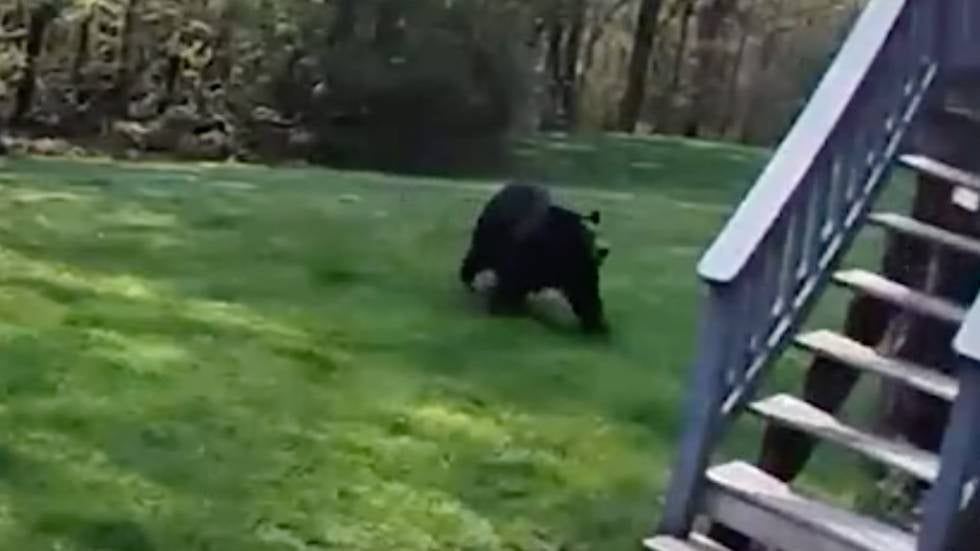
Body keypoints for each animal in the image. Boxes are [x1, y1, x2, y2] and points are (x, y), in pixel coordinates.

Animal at [459, 182, 610, 333]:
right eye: (590, 237)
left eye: (594, 236)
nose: (604, 251)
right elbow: (508, 286)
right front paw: (504, 308)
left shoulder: (579, 272)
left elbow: (586, 294)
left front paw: (597, 324)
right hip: (486, 244)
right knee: (477, 259)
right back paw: (470, 281)